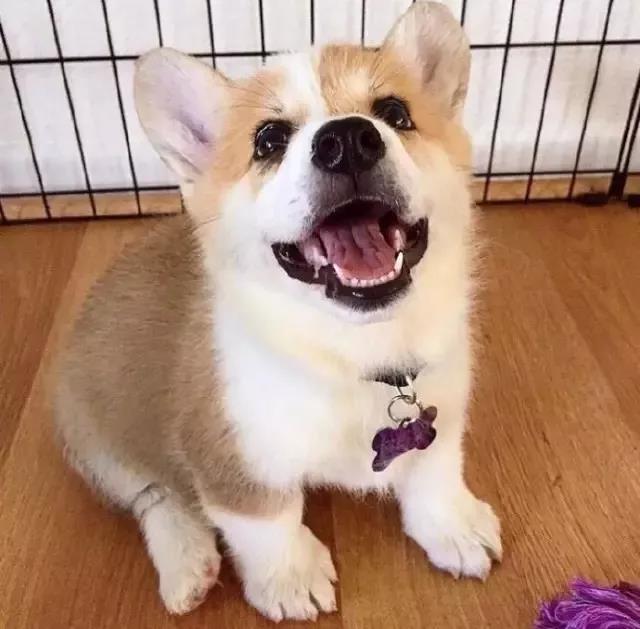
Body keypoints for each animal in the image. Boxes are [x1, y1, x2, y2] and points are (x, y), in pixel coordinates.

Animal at [54, 1, 501, 621]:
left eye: (394, 112)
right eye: (268, 140)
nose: (348, 140)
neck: (352, 352)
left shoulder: (442, 413)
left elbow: (434, 472)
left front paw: (452, 526)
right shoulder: (234, 459)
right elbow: (266, 521)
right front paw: (290, 578)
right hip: (98, 435)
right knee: (155, 494)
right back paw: (189, 564)